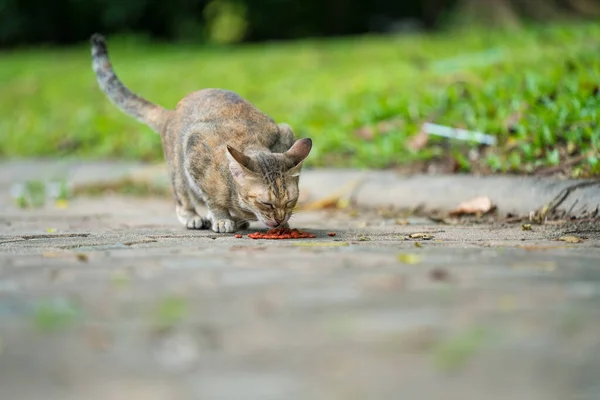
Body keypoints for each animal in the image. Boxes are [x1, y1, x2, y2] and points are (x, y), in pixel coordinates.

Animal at [92, 35, 314, 234]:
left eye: (290, 201)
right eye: (266, 203)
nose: (279, 219)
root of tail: (171, 113)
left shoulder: (285, 132)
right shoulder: (196, 146)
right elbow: (213, 199)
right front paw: (221, 219)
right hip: (179, 170)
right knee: (182, 199)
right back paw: (196, 217)